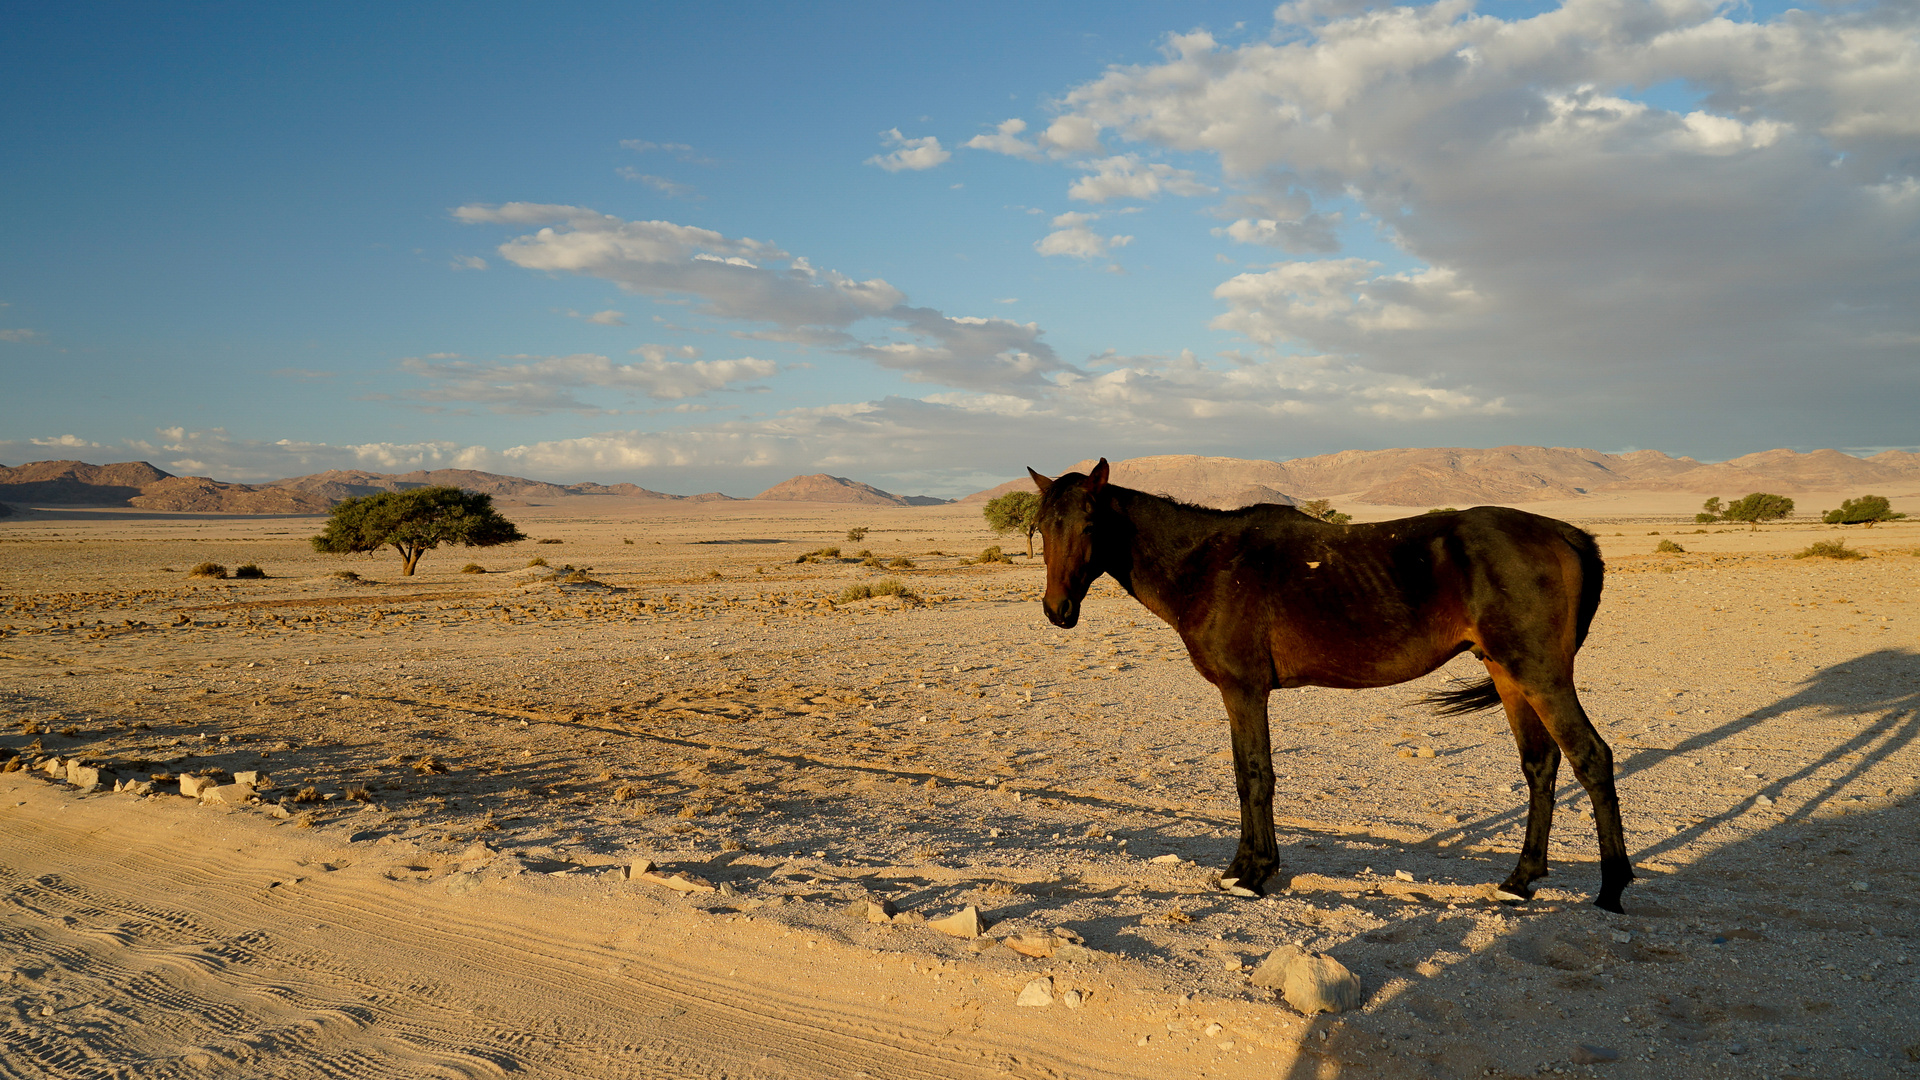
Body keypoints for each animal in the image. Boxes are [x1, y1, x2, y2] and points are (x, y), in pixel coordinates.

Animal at [1029, 453, 1628, 907]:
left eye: (1088, 526)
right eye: (1040, 528)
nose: (1058, 611)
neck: (1209, 563)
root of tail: (1567, 534)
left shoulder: (1244, 691)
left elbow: (1255, 774)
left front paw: (1254, 873)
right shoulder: (1239, 694)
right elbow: (1244, 775)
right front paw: (1243, 867)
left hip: (1540, 675)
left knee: (1592, 758)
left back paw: (1612, 889)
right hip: (1508, 674)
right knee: (1540, 765)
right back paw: (1520, 881)